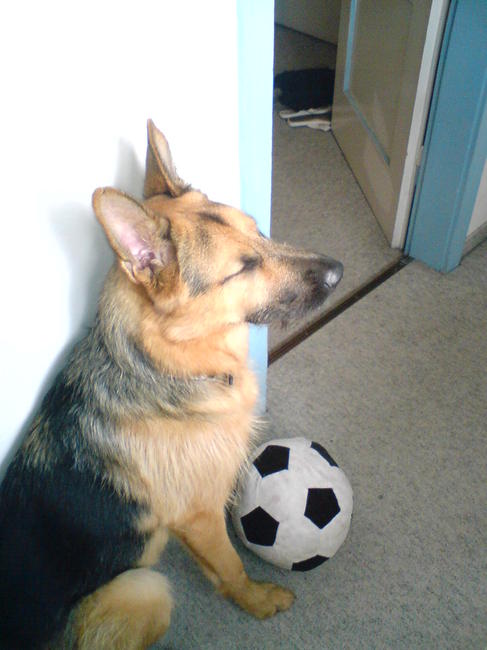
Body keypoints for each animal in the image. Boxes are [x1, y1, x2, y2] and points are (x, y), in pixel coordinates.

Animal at [0, 120, 343, 649]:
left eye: (260, 231)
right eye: (243, 268)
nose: (338, 273)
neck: (170, 365)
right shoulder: (199, 518)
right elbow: (230, 566)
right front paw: (258, 600)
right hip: (144, 587)